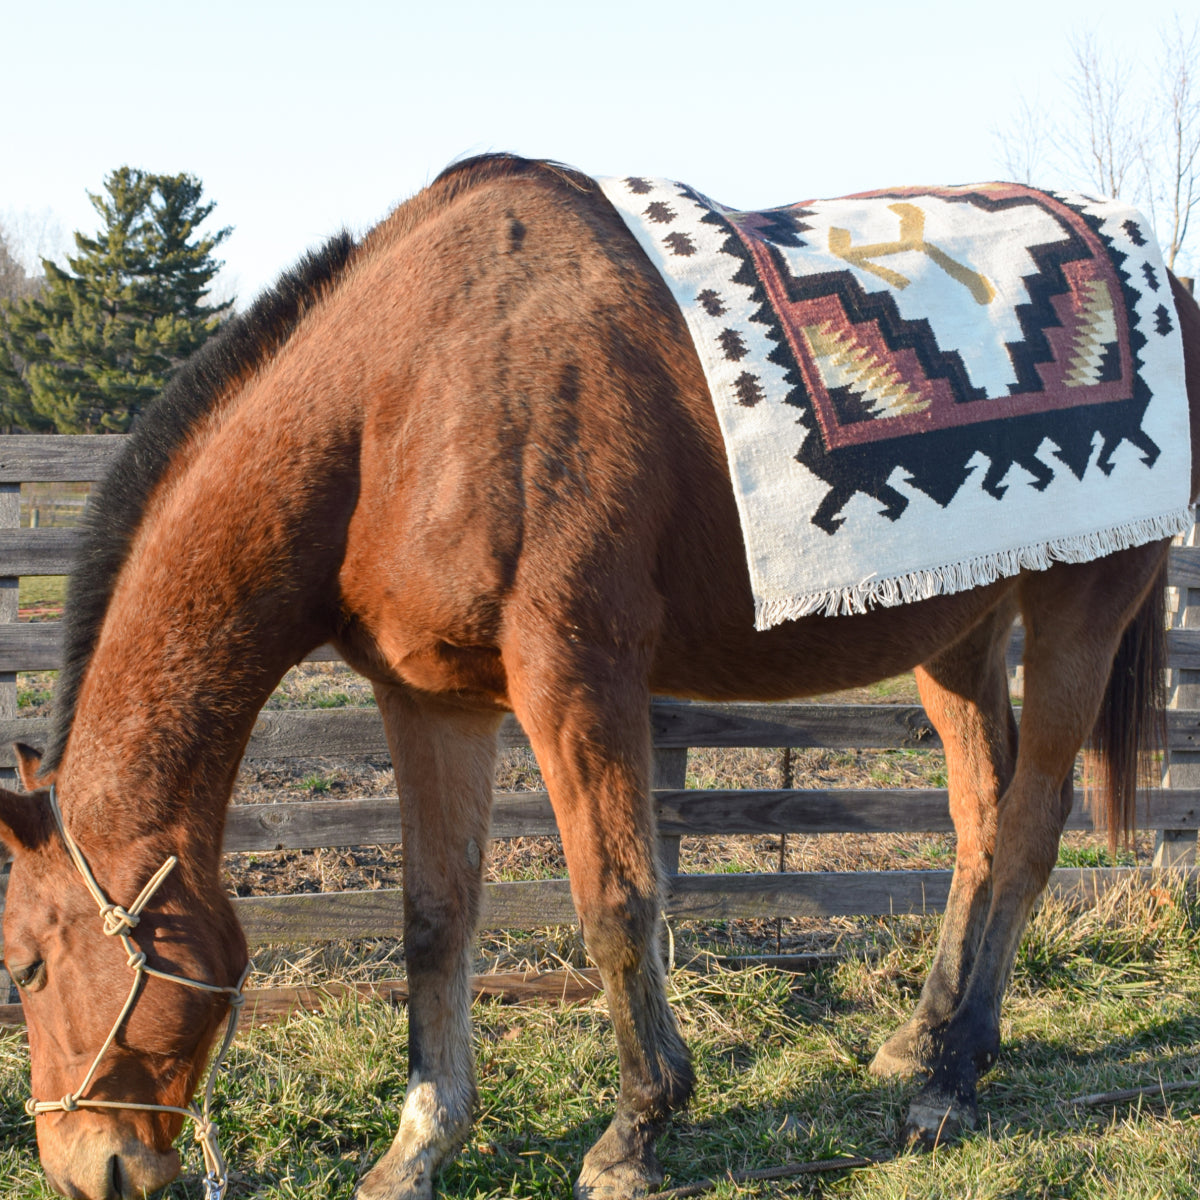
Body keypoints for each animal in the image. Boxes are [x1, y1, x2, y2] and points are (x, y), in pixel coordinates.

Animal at [0, 152, 1195, 1200]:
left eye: (24, 968)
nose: (88, 1170)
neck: (407, 395)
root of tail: (1166, 280)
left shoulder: (576, 677)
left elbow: (617, 905)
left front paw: (636, 1133)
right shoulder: (430, 700)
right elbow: (434, 916)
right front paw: (419, 1147)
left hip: (1084, 607)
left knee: (1031, 827)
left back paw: (952, 1079)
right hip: (957, 629)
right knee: (981, 822)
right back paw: (931, 1036)